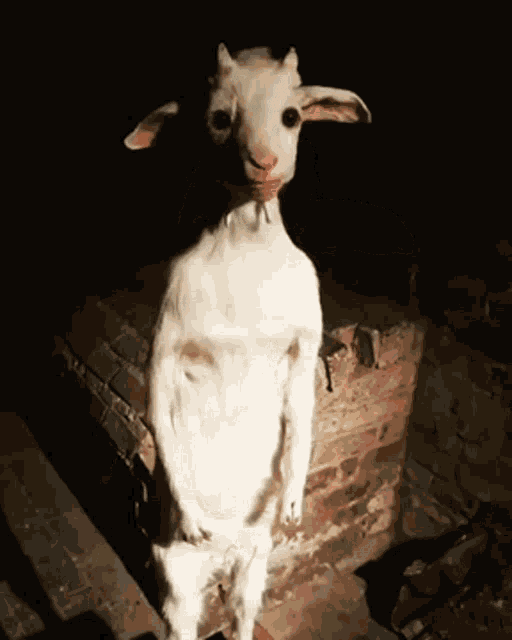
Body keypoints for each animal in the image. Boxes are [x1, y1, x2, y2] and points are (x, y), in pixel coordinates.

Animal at [125, 43, 370, 640]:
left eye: (293, 115)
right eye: (218, 119)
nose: (262, 162)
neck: (247, 244)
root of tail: (222, 558)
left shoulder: (306, 332)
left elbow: (303, 410)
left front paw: (293, 505)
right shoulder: (169, 326)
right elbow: (155, 406)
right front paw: (192, 517)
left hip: (254, 562)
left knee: (242, 612)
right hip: (177, 578)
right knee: (184, 617)